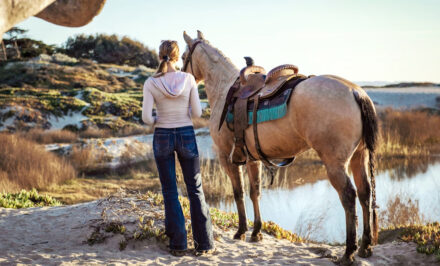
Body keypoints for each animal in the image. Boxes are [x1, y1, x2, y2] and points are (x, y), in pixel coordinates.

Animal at [181, 30, 378, 264]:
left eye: (183, 56)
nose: (182, 76)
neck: (224, 88)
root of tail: (356, 92)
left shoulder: (226, 157)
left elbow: (238, 192)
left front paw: (241, 231)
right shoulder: (252, 159)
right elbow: (255, 192)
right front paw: (256, 232)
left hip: (335, 164)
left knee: (349, 197)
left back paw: (348, 252)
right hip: (359, 157)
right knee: (365, 193)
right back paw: (365, 246)